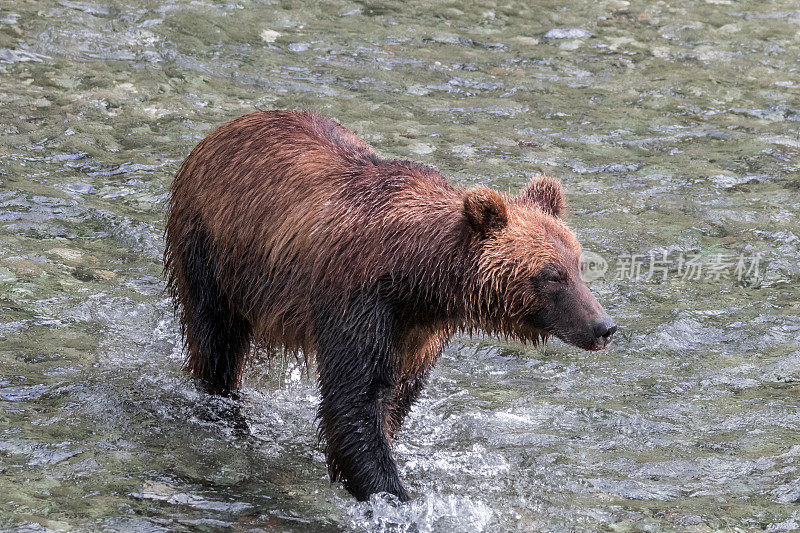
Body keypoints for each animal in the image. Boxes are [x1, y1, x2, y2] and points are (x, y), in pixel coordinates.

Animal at [162, 110, 612, 500]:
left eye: (578, 265)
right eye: (551, 275)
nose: (604, 326)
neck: (418, 278)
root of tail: (220, 131)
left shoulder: (420, 331)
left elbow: (397, 396)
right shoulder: (358, 299)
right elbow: (355, 399)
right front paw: (392, 493)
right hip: (211, 251)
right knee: (216, 342)